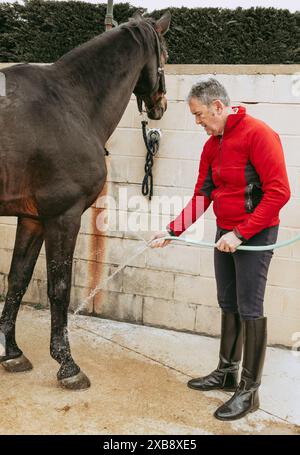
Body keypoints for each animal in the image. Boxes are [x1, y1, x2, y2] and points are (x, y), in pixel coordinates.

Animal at [0, 11, 171, 388]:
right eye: (166, 55)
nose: (161, 105)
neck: (70, 102)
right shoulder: (64, 216)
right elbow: (60, 288)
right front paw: (67, 364)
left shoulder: (33, 218)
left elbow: (18, 278)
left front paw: (12, 352)